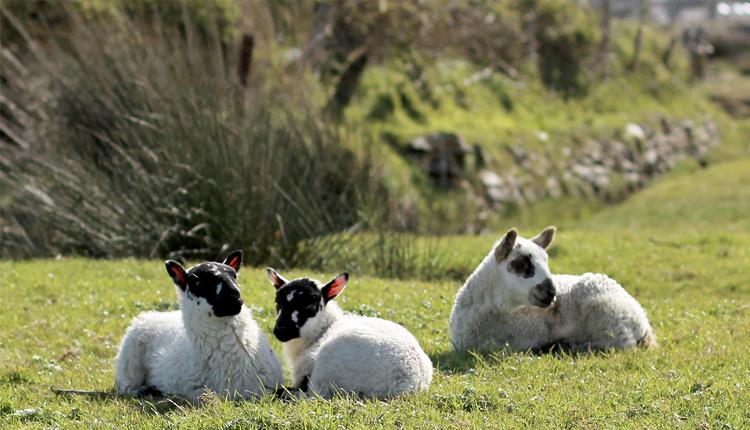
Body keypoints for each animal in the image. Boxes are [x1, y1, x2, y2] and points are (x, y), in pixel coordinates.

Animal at [114, 250, 284, 402]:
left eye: (234, 275)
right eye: (196, 281)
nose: (234, 297)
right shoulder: (194, 390)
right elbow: (208, 398)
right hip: (129, 363)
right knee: (126, 387)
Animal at [266, 268, 432, 400]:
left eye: (310, 303)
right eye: (277, 302)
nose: (281, 330)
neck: (322, 331)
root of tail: (405, 383)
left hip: (326, 369)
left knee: (312, 395)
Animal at [452, 227, 656, 354]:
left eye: (547, 261)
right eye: (520, 264)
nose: (551, 293)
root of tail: (641, 318)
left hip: (609, 317)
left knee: (620, 345)